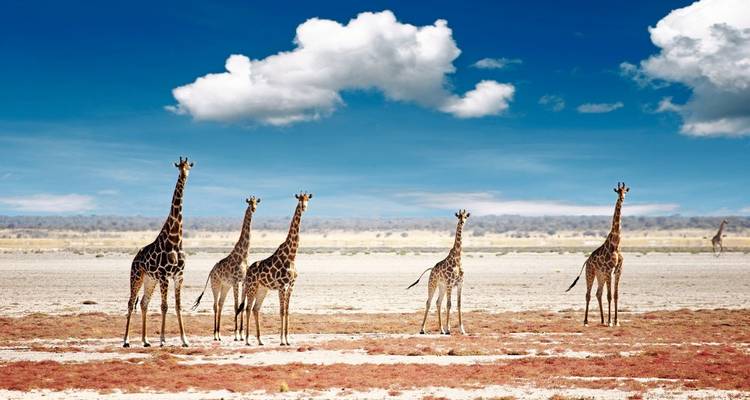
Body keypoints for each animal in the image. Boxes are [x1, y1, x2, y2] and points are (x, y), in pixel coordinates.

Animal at [123, 157, 193, 348]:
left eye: (189, 166)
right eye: (179, 167)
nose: (184, 175)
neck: (175, 239)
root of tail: (134, 259)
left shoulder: (178, 276)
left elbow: (177, 306)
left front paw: (185, 340)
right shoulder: (164, 276)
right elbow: (164, 306)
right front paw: (162, 340)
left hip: (150, 279)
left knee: (143, 303)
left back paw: (146, 340)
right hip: (137, 276)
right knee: (131, 302)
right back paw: (126, 340)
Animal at [192, 196, 260, 341]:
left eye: (256, 202)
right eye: (249, 203)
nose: (253, 209)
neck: (243, 255)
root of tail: (211, 271)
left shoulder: (243, 282)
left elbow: (242, 306)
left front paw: (241, 334)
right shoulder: (235, 281)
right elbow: (236, 306)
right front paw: (236, 335)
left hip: (225, 286)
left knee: (221, 304)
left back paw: (219, 334)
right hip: (215, 284)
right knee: (215, 305)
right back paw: (215, 334)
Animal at [236, 192, 312, 346]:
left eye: (308, 199)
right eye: (300, 200)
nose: (304, 207)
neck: (292, 255)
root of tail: (248, 272)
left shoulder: (291, 286)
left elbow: (287, 311)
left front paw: (288, 339)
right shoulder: (282, 286)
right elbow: (281, 311)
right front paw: (282, 340)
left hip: (262, 289)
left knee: (255, 309)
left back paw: (260, 340)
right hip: (252, 287)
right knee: (248, 308)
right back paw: (247, 340)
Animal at [566, 182, 628, 327]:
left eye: (625, 191)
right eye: (618, 191)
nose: (622, 198)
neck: (616, 244)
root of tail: (587, 261)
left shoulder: (618, 270)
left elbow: (615, 295)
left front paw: (616, 321)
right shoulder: (609, 270)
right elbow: (609, 296)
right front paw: (610, 322)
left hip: (600, 275)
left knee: (598, 293)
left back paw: (602, 320)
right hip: (591, 272)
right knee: (588, 294)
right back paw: (586, 321)